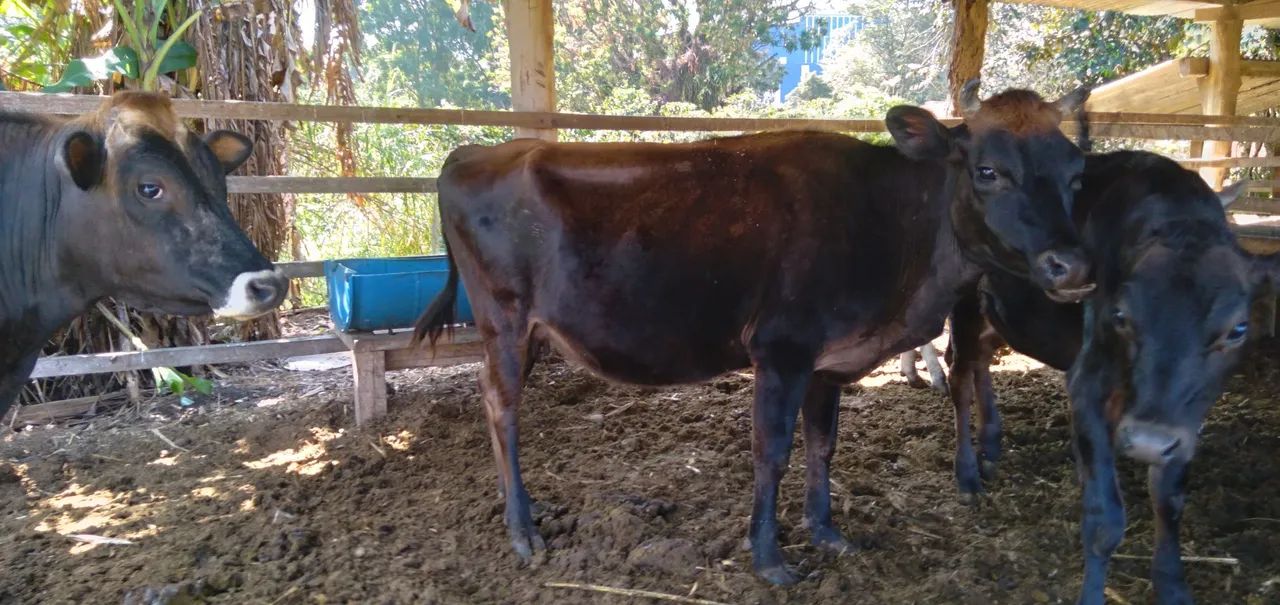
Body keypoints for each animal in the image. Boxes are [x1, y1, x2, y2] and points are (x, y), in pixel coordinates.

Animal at [413, 81, 1093, 584]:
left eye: (1076, 173)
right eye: (988, 170)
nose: (1074, 266)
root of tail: (475, 151)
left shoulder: (829, 360)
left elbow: (823, 444)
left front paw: (827, 533)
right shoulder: (781, 349)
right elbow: (773, 450)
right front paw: (770, 559)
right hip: (503, 320)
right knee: (501, 408)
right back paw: (522, 530)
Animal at [943, 150, 1262, 604]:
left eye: (1237, 329)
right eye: (1120, 316)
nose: (1147, 441)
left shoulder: (1183, 418)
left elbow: (1169, 498)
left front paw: (1172, 586)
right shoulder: (1088, 381)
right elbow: (1105, 519)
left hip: (998, 315)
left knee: (983, 364)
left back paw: (991, 445)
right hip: (965, 308)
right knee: (960, 379)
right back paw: (968, 473)